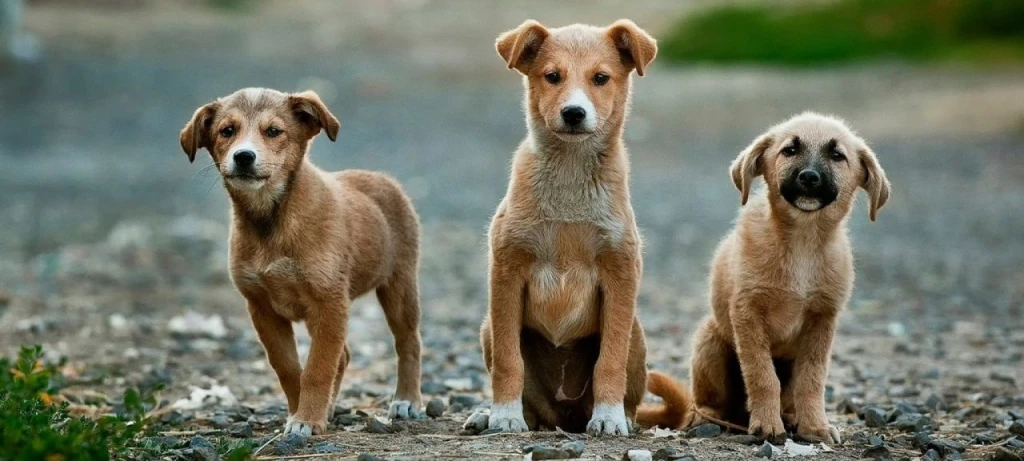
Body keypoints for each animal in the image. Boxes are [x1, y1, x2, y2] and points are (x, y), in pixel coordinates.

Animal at [181, 87, 423, 436]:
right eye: (227, 131)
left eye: (273, 131)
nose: (244, 157)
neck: (271, 220)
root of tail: (382, 178)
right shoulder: (262, 308)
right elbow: (289, 368)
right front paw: (302, 413)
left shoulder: (329, 303)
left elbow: (318, 368)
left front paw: (307, 419)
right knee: (344, 355)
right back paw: (331, 407)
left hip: (399, 286)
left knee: (408, 342)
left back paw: (407, 400)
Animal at [466, 18, 659, 436]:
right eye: (552, 76)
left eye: (601, 78)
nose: (573, 113)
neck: (570, 176)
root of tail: (564, 416)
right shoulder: (506, 271)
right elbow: (509, 361)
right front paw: (504, 415)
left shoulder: (621, 273)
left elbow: (610, 360)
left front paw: (609, 417)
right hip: (488, 327)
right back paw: (491, 414)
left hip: (637, 333)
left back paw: (620, 416)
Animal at [638, 111, 888, 442]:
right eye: (790, 150)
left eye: (837, 155)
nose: (809, 177)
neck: (802, 242)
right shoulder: (747, 313)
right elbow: (762, 375)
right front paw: (768, 425)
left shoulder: (822, 320)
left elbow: (812, 380)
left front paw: (815, 426)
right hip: (710, 340)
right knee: (707, 401)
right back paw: (708, 417)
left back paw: (791, 417)